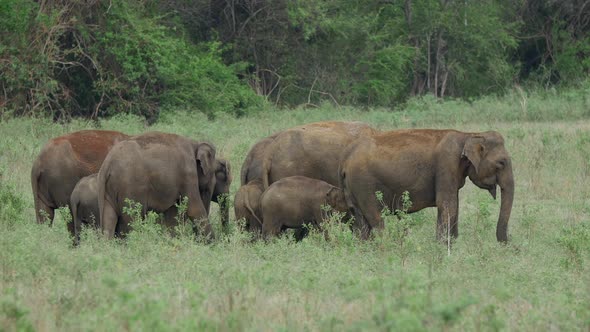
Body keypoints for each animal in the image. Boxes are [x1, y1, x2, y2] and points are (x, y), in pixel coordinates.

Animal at [340, 129, 516, 241]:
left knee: (360, 220)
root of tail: (346, 161)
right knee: (376, 219)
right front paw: (443, 248)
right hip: (363, 185)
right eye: (501, 163)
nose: (509, 243)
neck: (469, 135)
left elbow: (454, 206)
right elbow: (447, 205)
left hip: (353, 188)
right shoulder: (446, 163)